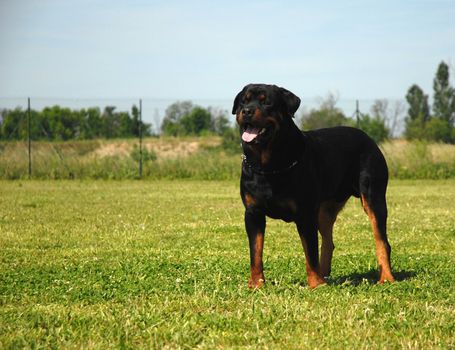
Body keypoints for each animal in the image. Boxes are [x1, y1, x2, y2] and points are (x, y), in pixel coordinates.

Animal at [233, 83, 394, 288]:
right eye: (242, 101)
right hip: (325, 209)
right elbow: (256, 252)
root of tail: (368, 138)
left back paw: (386, 277)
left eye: (266, 102)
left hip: (373, 197)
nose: (246, 111)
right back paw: (324, 274)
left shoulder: (305, 213)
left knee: (381, 240)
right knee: (328, 241)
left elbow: (310, 251)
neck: (268, 165)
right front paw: (256, 284)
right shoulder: (253, 213)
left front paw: (315, 284)